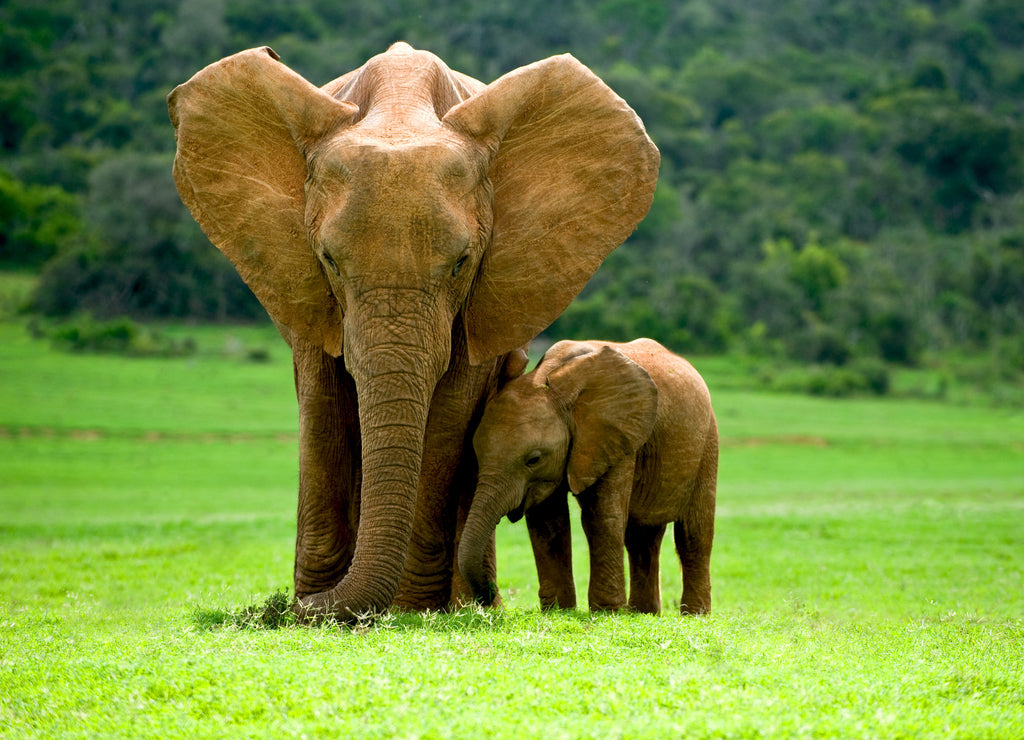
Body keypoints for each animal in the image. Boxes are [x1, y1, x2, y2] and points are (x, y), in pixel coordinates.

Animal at [168, 43, 659, 620]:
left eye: (461, 263)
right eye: (329, 260)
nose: (291, 608)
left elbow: (449, 415)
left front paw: (410, 609)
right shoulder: (304, 284)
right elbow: (323, 405)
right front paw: (314, 602)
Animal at [458, 339, 718, 615]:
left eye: (534, 459)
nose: (489, 595)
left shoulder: (617, 436)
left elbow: (601, 517)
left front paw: (607, 611)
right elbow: (548, 521)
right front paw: (559, 610)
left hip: (708, 441)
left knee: (694, 531)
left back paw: (695, 615)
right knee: (643, 536)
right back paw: (643, 613)